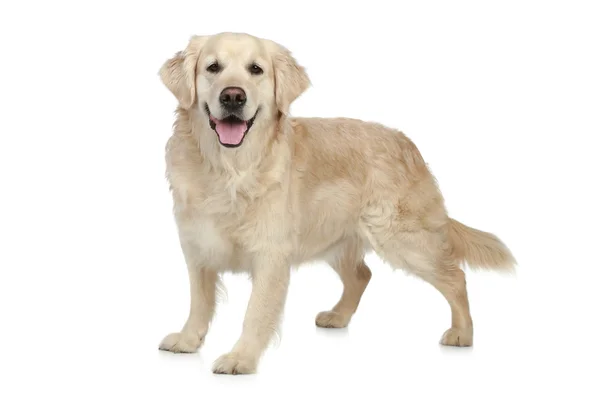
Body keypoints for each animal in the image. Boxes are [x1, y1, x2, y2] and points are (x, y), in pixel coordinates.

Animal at [156, 32, 516, 376]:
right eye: (213, 67)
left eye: (255, 69)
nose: (233, 96)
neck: (229, 169)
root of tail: (408, 144)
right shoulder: (198, 249)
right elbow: (199, 304)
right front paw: (188, 340)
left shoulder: (271, 255)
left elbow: (255, 312)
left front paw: (240, 358)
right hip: (336, 237)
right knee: (362, 275)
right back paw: (339, 316)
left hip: (402, 239)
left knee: (456, 277)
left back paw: (463, 333)